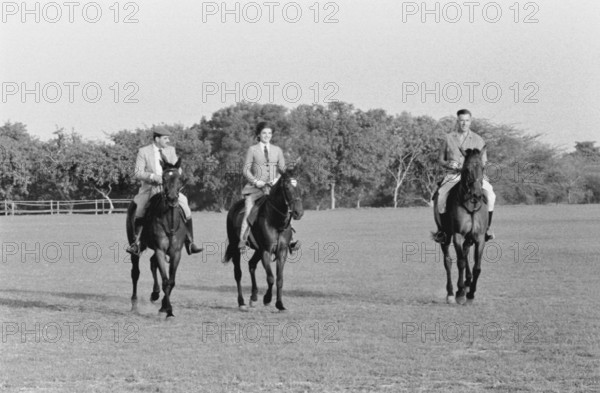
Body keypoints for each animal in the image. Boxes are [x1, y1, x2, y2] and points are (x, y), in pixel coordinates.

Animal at [128, 156, 188, 316]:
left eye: (179, 178)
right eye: (164, 178)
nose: (172, 199)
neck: (170, 221)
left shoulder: (175, 253)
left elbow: (171, 281)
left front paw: (164, 306)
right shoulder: (160, 250)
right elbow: (165, 280)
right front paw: (168, 311)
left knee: (152, 263)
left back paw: (155, 294)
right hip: (135, 247)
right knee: (135, 272)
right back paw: (134, 303)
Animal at [223, 167, 302, 310]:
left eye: (299, 186)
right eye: (287, 187)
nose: (299, 212)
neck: (276, 221)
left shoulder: (281, 252)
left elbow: (279, 279)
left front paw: (280, 304)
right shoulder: (266, 251)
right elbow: (270, 278)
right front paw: (267, 299)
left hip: (258, 250)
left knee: (251, 265)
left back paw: (253, 297)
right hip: (236, 247)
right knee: (238, 273)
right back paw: (241, 302)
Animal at [434, 147, 490, 304]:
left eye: (482, 167)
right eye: (466, 169)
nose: (477, 194)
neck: (471, 205)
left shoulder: (480, 238)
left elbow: (477, 267)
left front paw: (470, 294)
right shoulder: (457, 235)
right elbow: (460, 263)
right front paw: (459, 293)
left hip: (469, 238)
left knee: (465, 254)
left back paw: (467, 284)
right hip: (445, 237)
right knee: (448, 262)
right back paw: (451, 293)